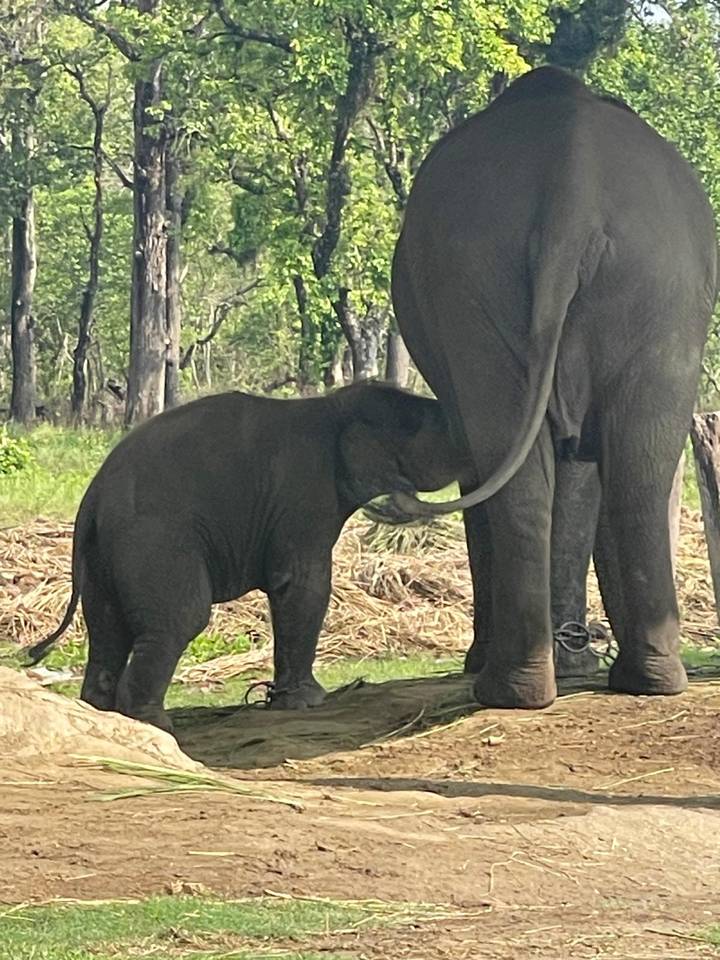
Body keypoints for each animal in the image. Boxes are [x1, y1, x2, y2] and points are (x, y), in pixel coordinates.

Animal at [24, 382, 472, 732]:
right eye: (434, 428)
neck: (333, 406)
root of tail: (93, 499)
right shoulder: (304, 496)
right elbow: (303, 585)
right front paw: (308, 702)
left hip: (102, 556)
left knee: (106, 630)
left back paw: (102, 713)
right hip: (155, 543)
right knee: (181, 618)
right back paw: (153, 723)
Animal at [380, 66, 718, 709]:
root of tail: (572, 187)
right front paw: (577, 666)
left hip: (491, 288)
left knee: (528, 469)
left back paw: (509, 686)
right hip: (654, 287)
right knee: (637, 465)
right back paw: (641, 681)